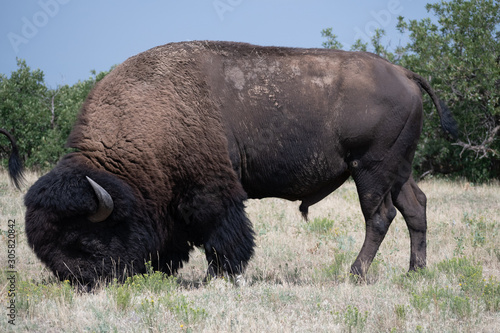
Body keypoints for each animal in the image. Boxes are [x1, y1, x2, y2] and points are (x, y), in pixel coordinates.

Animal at [22, 40, 458, 286]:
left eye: (84, 239)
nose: (80, 282)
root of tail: (405, 72)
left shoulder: (209, 191)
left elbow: (222, 234)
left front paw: (219, 275)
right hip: (398, 171)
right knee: (415, 207)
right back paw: (414, 272)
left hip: (370, 170)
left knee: (379, 217)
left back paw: (354, 274)